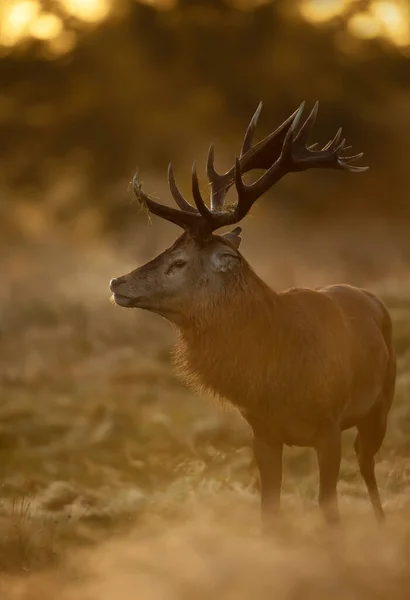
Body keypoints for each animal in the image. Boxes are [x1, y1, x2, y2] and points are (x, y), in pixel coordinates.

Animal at [109, 105, 398, 528]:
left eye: (179, 262)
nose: (117, 282)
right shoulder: (261, 431)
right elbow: (269, 510)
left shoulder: (329, 425)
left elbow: (329, 508)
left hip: (381, 403)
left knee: (368, 463)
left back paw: (381, 522)